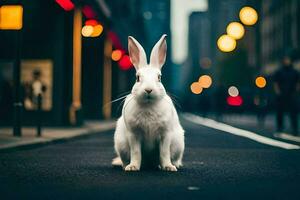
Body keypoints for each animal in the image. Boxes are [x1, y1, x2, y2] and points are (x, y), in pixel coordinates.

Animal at [112, 34, 184, 172]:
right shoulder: (134, 134)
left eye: (159, 77)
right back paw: (125, 165)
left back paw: (173, 165)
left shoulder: (165, 134)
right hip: (121, 144)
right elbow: (136, 152)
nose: (148, 89)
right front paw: (133, 167)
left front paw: (168, 167)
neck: (149, 105)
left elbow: (164, 153)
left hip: (178, 144)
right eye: (137, 78)